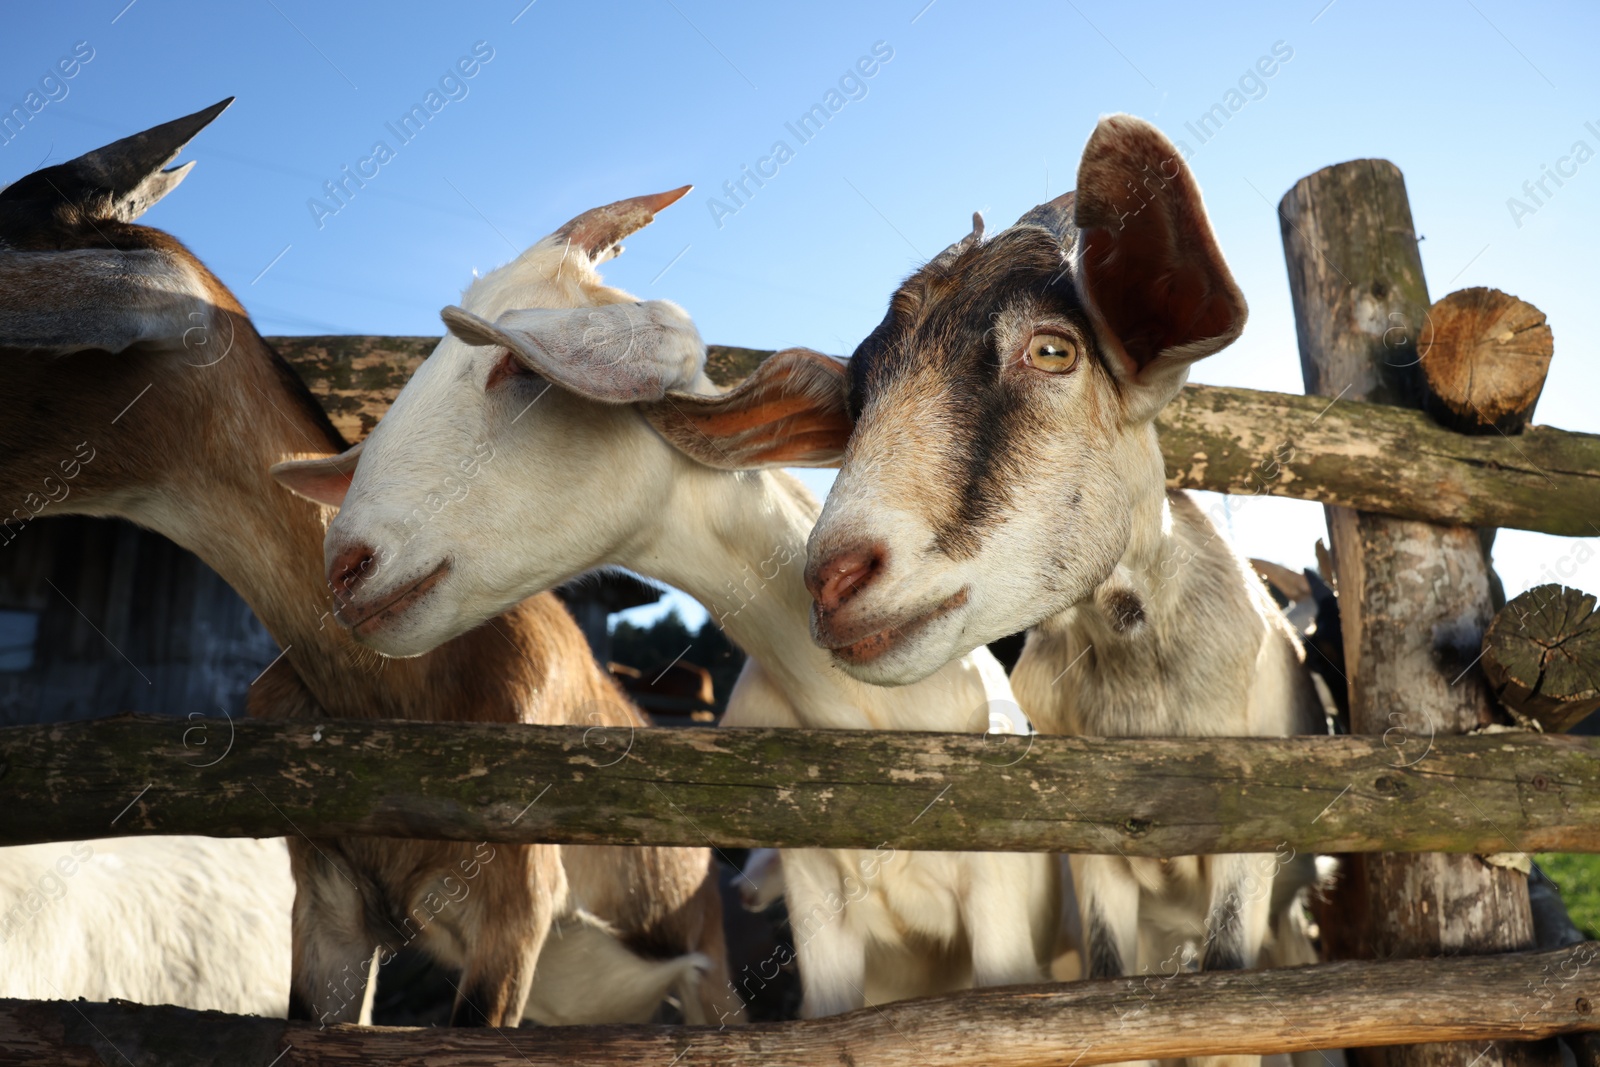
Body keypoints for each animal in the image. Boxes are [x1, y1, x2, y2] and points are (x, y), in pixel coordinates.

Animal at [636, 115, 1324, 1062]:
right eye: (859, 396)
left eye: (1053, 348)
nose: (834, 576)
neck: (1143, 691)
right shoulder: (1095, 857)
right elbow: (1114, 993)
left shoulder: (1249, 853)